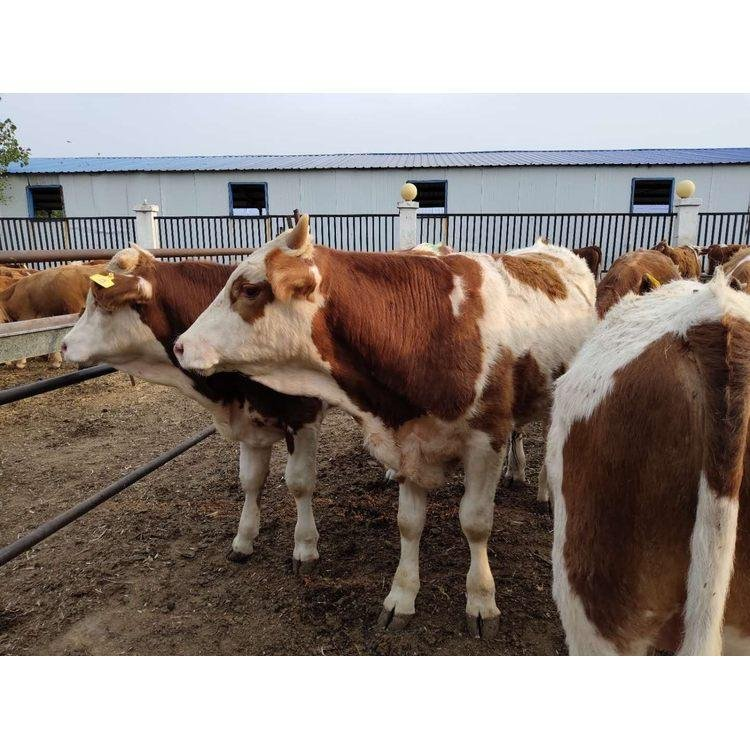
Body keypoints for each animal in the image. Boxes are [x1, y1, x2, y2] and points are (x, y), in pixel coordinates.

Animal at [61, 247, 326, 568]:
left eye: (100, 303)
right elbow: (251, 480)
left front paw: (305, 546)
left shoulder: (302, 417)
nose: (64, 345)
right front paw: (244, 539)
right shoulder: (250, 421)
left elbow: (299, 482)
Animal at [175, 217, 600, 640]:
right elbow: (408, 524)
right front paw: (402, 596)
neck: (432, 328)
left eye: (248, 289)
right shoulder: (408, 440)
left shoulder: (486, 438)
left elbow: (476, 523)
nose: (180, 346)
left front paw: (481, 600)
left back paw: (546, 490)